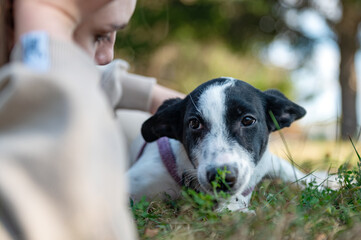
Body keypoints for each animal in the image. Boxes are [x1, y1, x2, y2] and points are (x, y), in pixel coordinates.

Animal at [126, 78, 330, 211]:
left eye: (248, 120)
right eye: (194, 123)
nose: (221, 178)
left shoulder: (267, 162)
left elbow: (295, 174)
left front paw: (327, 182)